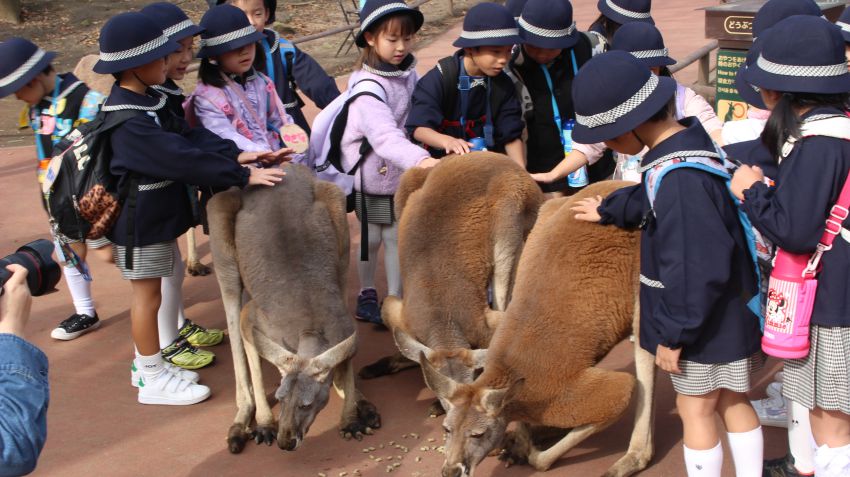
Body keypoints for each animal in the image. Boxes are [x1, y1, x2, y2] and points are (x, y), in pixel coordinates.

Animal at [207, 163, 380, 454]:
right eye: (280, 398)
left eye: (306, 405)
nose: (285, 443)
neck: (310, 329)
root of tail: (283, 168)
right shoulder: (253, 320)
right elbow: (251, 354)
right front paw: (266, 424)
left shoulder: (344, 326)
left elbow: (345, 361)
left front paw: (350, 420)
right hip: (220, 222)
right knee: (231, 303)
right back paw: (241, 422)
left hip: (337, 214)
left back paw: (360, 401)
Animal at [359, 152, 544, 416]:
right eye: (444, 398)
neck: (443, 325)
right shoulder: (397, 314)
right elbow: (410, 346)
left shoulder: (483, 324)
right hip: (405, 188)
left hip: (510, 212)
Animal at [421, 181, 656, 477]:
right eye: (446, 429)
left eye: (478, 434)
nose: (451, 471)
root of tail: (626, 183)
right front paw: (520, 438)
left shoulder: (577, 393)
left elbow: (623, 389)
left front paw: (528, 447)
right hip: (545, 214)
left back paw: (629, 459)